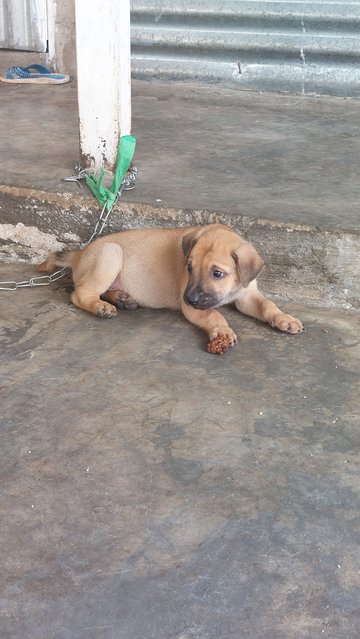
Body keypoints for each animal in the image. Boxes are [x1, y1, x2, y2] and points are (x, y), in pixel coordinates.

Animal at [38, 224, 304, 356]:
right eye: (189, 267)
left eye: (217, 273)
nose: (189, 298)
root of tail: (79, 254)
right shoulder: (195, 309)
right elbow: (214, 313)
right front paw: (222, 332)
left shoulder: (246, 294)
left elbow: (267, 304)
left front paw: (285, 319)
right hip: (110, 253)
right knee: (81, 293)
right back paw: (101, 306)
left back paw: (122, 298)